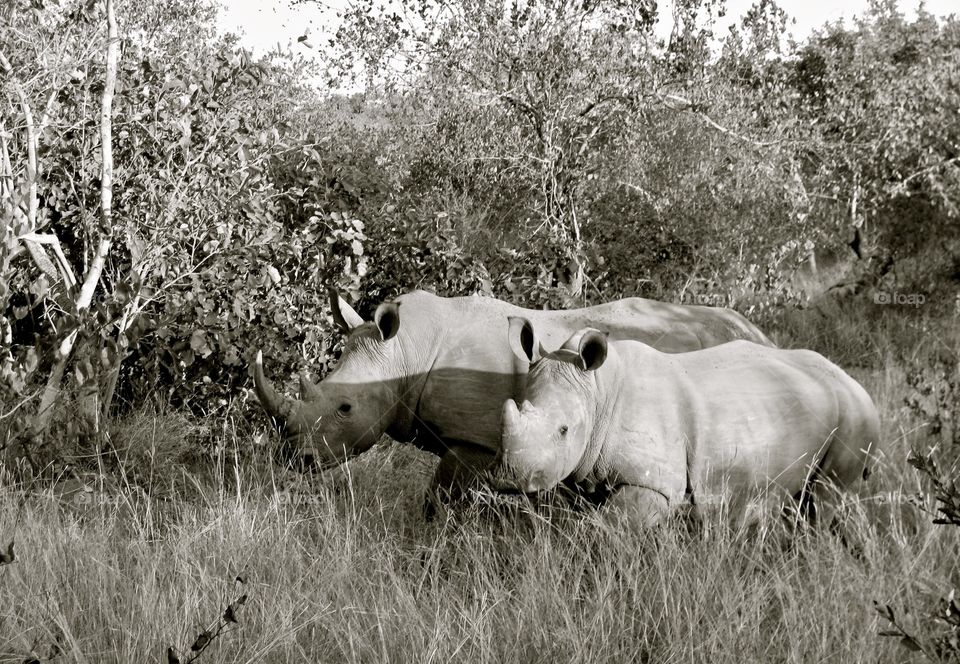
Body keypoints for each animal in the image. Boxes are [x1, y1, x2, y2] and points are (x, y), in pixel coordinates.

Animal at [253, 288, 773, 502]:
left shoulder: (473, 439)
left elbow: (441, 496)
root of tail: (759, 331)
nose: (296, 458)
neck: (404, 350)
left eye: (345, 408)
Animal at [489, 318, 881, 527]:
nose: (510, 480)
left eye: (564, 430)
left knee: (823, 500)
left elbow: (607, 527)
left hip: (854, 416)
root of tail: (855, 383)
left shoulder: (657, 484)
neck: (597, 391)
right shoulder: (588, 472)